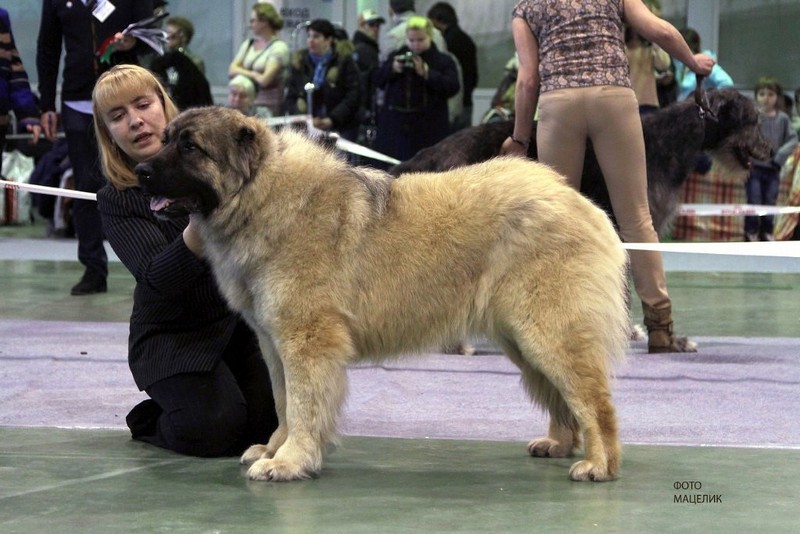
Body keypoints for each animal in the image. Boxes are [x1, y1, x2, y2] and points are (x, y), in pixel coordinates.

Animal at [141, 107, 636, 484]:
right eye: (165, 139)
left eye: (190, 147)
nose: (141, 170)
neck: (260, 193)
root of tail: (578, 201)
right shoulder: (273, 341)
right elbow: (284, 402)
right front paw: (275, 449)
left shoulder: (306, 339)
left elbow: (302, 404)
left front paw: (290, 460)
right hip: (523, 338)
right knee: (564, 398)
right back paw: (559, 443)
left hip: (547, 332)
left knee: (595, 402)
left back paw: (599, 465)